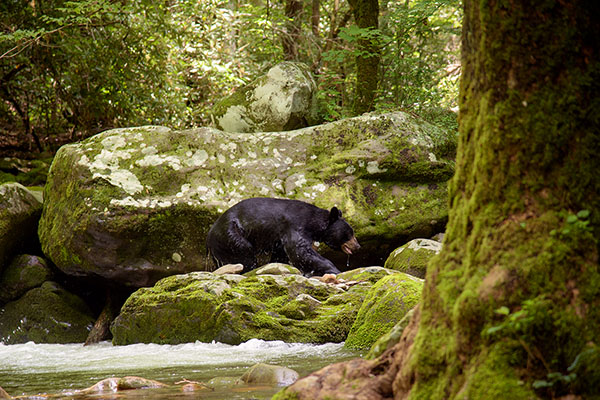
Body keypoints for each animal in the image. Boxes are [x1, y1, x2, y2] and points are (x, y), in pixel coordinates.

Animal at [205, 197, 360, 276]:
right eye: (349, 233)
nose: (357, 246)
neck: (313, 223)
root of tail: (209, 235)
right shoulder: (295, 227)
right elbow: (301, 251)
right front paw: (334, 270)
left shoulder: (279, 241)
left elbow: (282, 255)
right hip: (231, 236)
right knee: (244, 256)